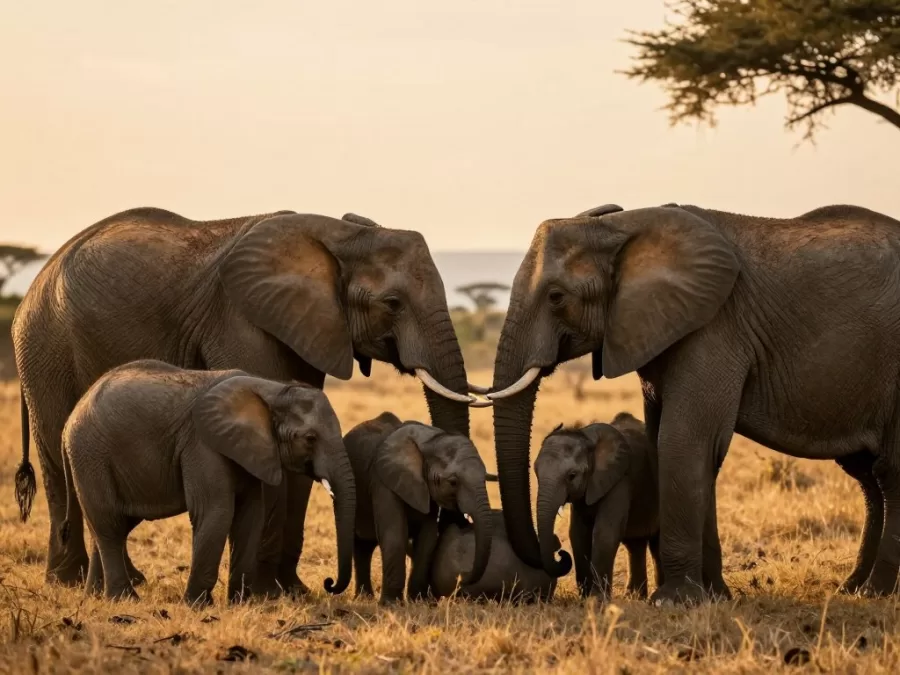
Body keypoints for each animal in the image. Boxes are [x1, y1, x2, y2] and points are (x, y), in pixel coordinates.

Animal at [60, 360, 355, 605]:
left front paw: (242, 604)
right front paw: (197, 605)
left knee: (110, 525)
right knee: (109, 524)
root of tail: (69, 419)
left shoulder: (248, 450)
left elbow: (250, 516)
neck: (272, 389)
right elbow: (216, 512)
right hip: (90, 455)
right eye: (310, 438)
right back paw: (124, 600)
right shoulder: (202, 444)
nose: (329, 583)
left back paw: (95, 596)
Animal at [342, 412, 492, 604]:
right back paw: (364, 599)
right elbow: (395, 535)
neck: (430, 440)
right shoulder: (382, 481)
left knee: (364, 547)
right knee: (359, 542)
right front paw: (391, 605)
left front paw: (419, 601)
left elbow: (428, 537)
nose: (462, 578)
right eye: (453, 482)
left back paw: (364, 598)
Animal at [534, 413, 661, 600]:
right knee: (635, 544)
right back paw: (635, 597)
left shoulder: (620, 479)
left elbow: (604, 533)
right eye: (536, 472)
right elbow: (577, 534)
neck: (586, 438)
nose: (560, 552)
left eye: (572, 475)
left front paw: (597, 599)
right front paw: (585, 597)